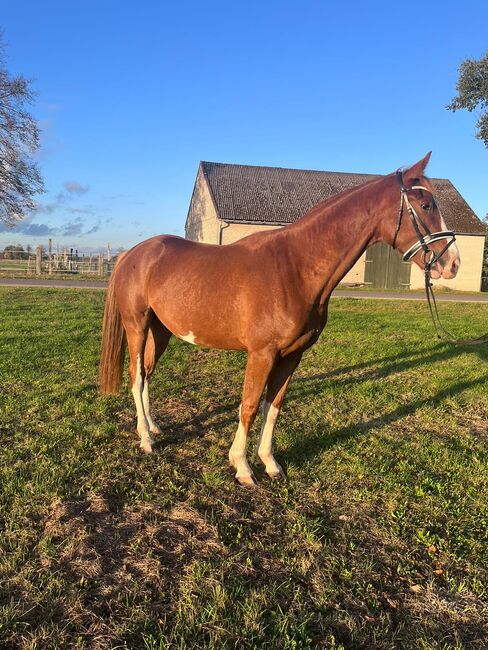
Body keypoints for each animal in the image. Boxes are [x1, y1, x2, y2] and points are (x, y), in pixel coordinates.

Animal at [100, 154, 462, 484]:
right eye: (426, 204)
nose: (453, 263)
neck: (294, 268)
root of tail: (132, 253)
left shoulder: (292, 356)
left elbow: (272, 406)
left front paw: (270, 463)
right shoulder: (262, 354)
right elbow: (248, 405)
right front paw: (243, 467)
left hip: (161, 331)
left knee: (147, 374)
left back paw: (153, 426)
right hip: (137, 326)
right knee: (136, 376)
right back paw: (146, 439)